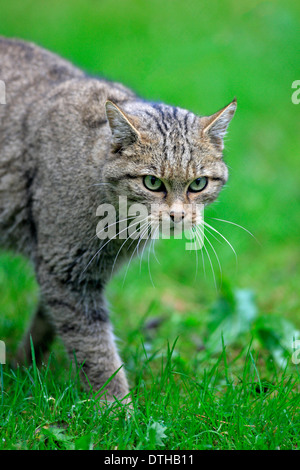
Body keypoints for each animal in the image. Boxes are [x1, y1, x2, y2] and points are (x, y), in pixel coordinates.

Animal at [0, 38, 237, 402]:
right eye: (152, 182)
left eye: (198, 184)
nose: (178, 215)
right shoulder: (66, 270)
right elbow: (95, 348)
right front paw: (113, 404)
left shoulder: (76, 270)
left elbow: (48, 320)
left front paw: (24, 366)